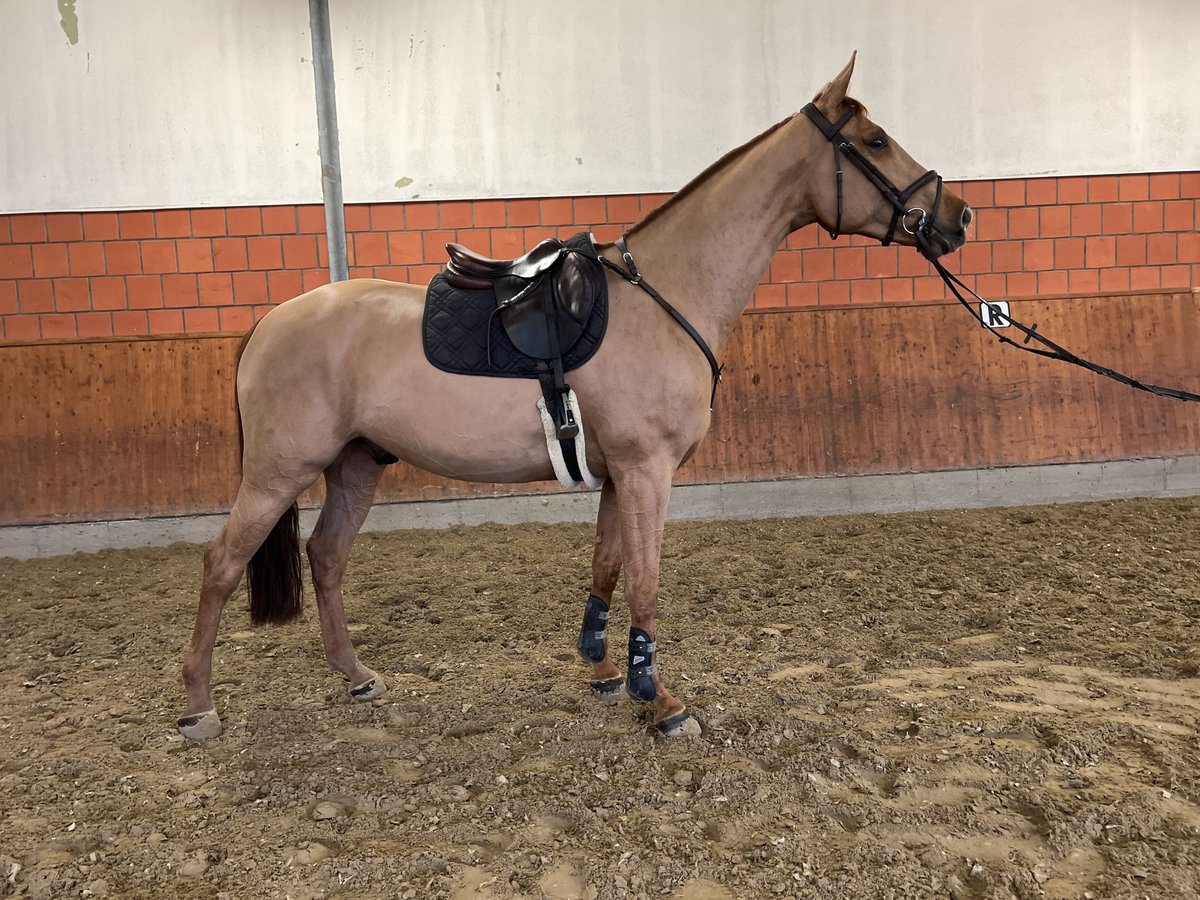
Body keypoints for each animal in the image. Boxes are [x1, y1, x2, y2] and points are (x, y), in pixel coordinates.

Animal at [177, 56, 969, 744]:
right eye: (875, 140)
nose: (957, 217)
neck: (665, 296)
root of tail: (269, 322)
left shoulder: (619, 475)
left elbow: (607, 568)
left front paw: (606, 669)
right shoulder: (649, 471)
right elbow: (646, 583)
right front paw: (663, 702)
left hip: (355, 464)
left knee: (327, 556)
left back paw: (355, 675)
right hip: (279, 471)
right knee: (221, 564)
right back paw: (197, 708)